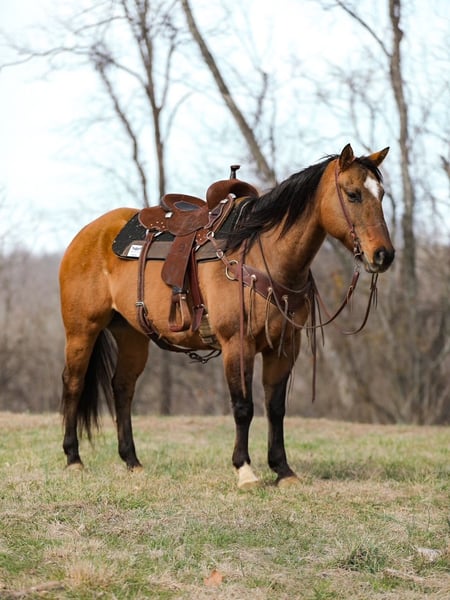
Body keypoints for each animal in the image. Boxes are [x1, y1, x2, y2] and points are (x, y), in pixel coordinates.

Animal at [59, 144, 395, 488]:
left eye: (381, 194)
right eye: (353, 194)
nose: (383, 255)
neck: (263, 253)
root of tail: (87, 234)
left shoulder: (285, 348)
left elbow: (275, 407)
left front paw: (283, 469)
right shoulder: (237, 343)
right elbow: (243, 406)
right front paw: (245, 469)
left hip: (132, 335)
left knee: (122, 388)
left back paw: (132, 461)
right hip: (81, 331)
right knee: (73, 383)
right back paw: (73, 459)